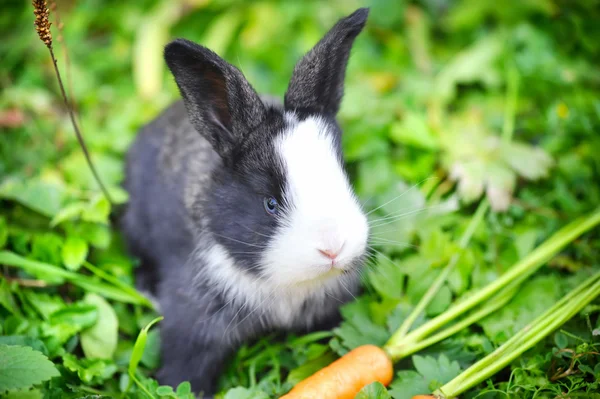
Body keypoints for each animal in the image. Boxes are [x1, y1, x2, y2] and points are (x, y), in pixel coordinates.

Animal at [120, 6, 370, 396]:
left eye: (344, 174)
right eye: (270, 203)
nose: (332, 249)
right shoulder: (194, 326)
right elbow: (185, 370)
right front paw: (176, 386)